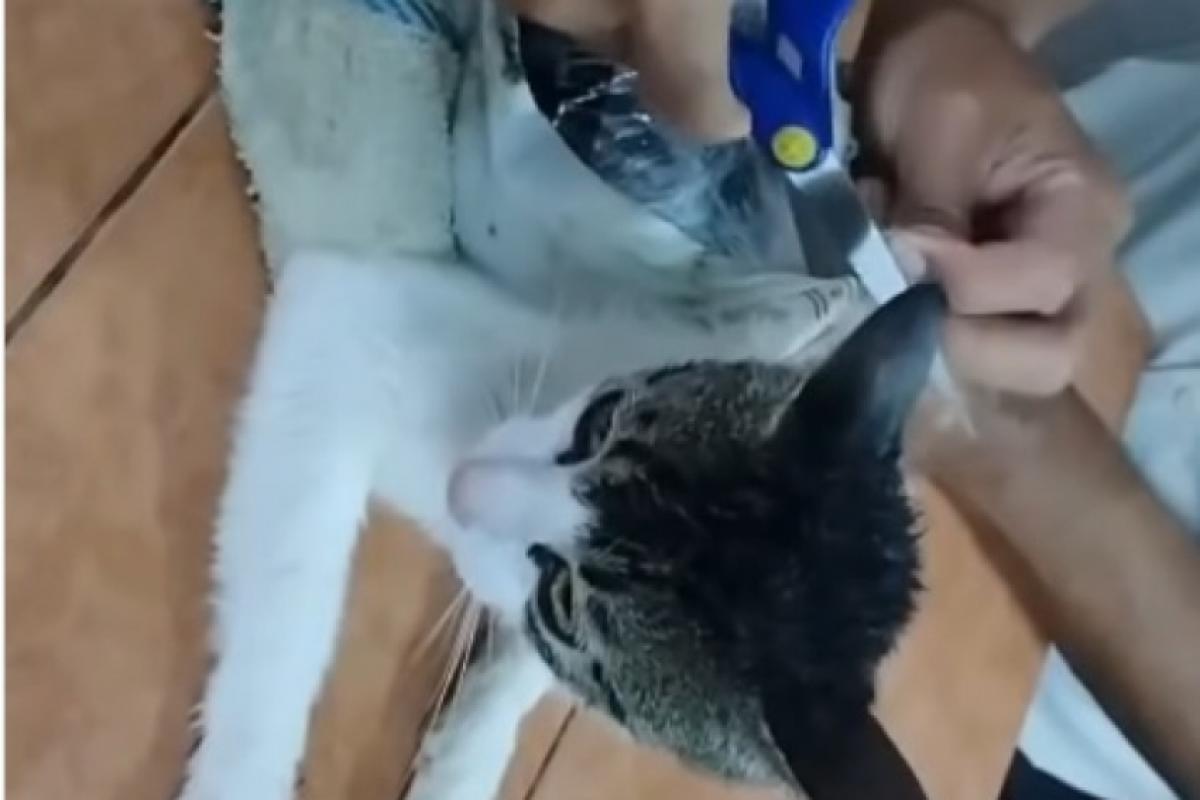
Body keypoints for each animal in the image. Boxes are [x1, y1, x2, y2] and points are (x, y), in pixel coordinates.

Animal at [181, 1, 934, 799]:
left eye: (562, 603)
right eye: (600, 421)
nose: (464, 487)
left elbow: (527, 670)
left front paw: (463, 761)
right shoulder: (342, 313)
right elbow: (288, 604)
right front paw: (239, 774)